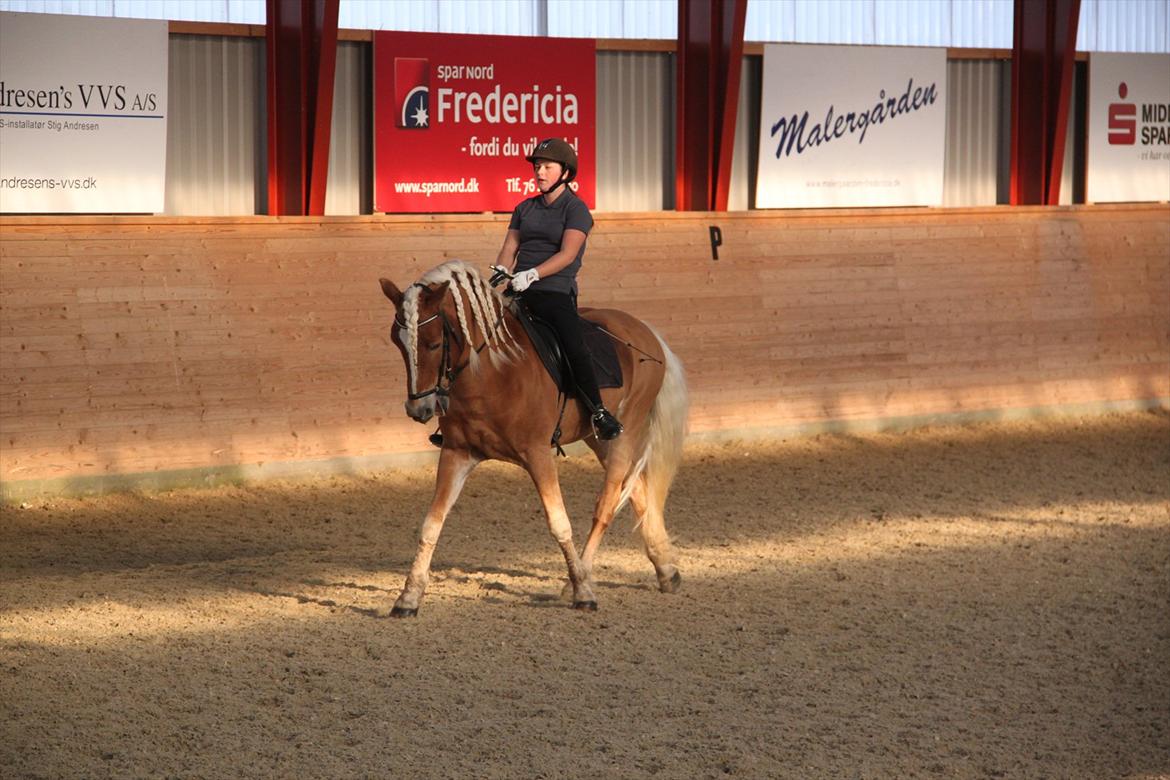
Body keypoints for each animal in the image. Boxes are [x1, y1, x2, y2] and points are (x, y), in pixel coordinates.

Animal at [376, 261, 683, 617]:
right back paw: (666, 570)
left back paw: (581, 579)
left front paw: (583, 593)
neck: (492, 373)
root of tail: (646, 331)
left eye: (434, 343)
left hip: (625, 430)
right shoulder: (456, 453)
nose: (418, 408)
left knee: (606, 504)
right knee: (637, 491)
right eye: (397, 343)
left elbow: (559, 522)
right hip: (599, 439)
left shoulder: (537, 454)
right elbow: (431, 524)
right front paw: (408, 597)